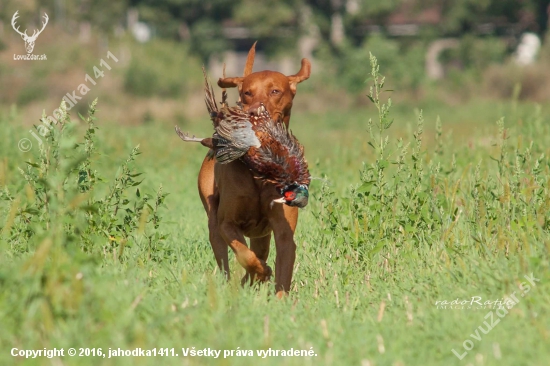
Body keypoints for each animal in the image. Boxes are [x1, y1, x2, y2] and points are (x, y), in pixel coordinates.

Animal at [197, 43, 310, 298]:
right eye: (247, 93)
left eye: (275, 91)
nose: (253, 113)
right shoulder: (227, 223)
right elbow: (244, 255)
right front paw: (260, 272)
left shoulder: (284, 233)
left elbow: (282, 274)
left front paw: (279, 300)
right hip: (213, 225)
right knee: (226, 261)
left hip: (262, 235)